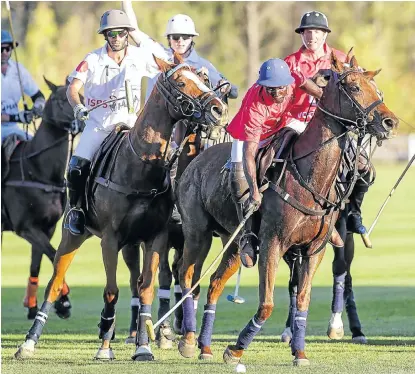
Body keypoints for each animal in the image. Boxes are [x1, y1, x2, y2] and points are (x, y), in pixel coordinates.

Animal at [1, 78, 83, 318]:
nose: (80, 122)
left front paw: (34, 306)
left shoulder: (47, 227)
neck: (38, 170)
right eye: (60, 99)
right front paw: (63, 301)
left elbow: (39, 262)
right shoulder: (26, 228)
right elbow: (54, 254)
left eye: (83, 96)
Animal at [14, 56, 228, 362]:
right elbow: (111, 291)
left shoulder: (156, 238)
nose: (218, 109)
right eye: (180, 82)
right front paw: (105, 345)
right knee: (54, 282)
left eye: (204, 79)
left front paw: (144, 346)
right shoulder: (110, 239)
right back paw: (30, 342)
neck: (141, 167)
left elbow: (148, 288)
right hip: (72, 235)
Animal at [176, 52, 400, 366]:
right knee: (188, 277)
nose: (390, 121)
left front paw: (300, 352)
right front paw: (236, 349)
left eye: (376, 90)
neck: (310, 178)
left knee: (215, 283)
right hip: (198, 233)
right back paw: (187, 340)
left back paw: (205, 346)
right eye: (355, 88)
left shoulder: (314, 250)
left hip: (234, 243)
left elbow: (304, 299)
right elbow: (267, 304)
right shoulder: (273, 243)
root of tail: (194, 162)